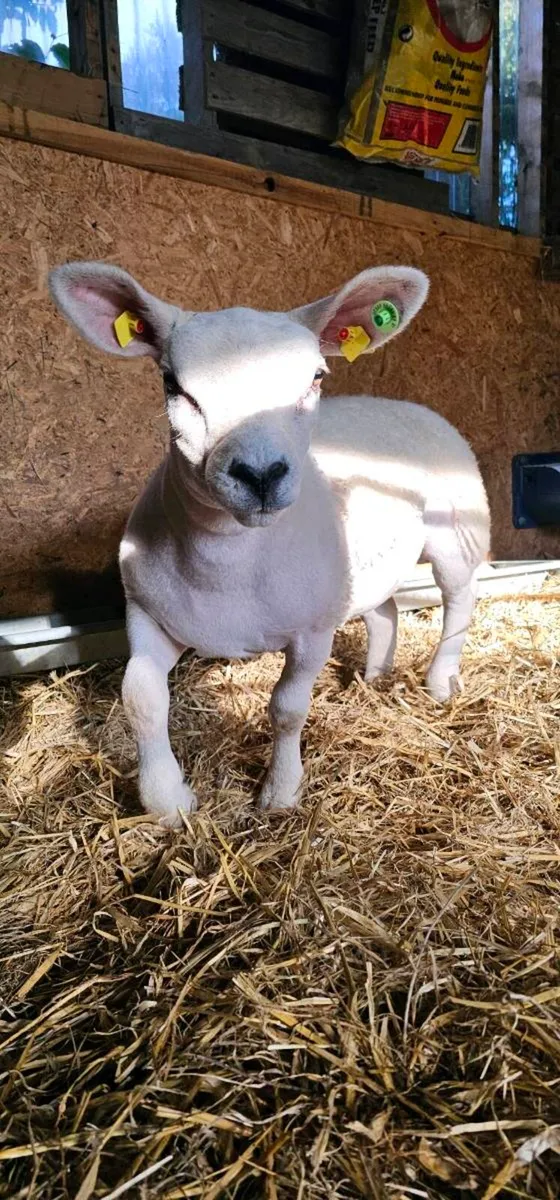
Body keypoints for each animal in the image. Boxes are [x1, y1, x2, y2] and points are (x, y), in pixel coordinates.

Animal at [49, 261, 490, 826]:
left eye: (316, 378)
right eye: (173, 385)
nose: (260, 474)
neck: (228, 562)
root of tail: (407, 406)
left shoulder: (312, 633)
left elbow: (287, 708)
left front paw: (280, 793)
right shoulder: (147, 613)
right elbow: (141, 698)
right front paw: (168, 803)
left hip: (457, 532)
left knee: (459, 601)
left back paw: (440, 681)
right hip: (363, 568)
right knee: (385, 610)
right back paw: (374, 677)